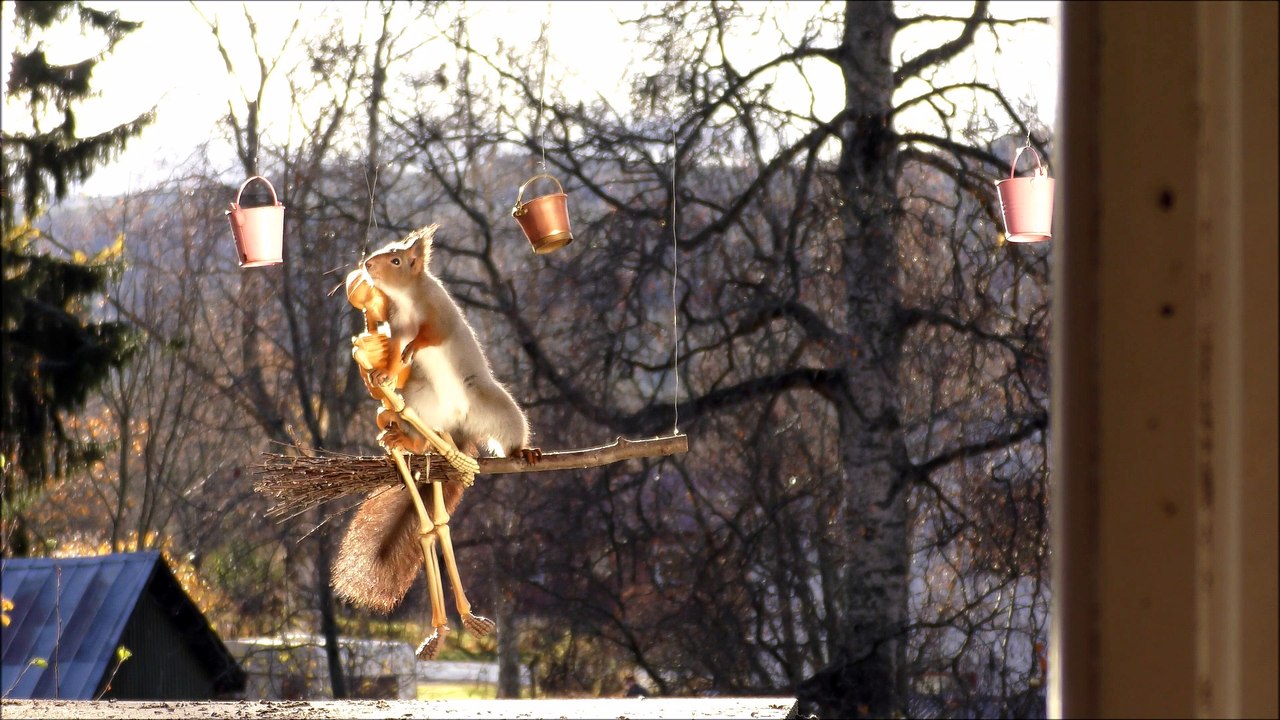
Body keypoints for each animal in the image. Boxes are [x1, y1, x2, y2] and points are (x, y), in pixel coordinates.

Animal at [332, 224, 538, 613]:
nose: (368, 264)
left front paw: (416, 348)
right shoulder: (397, 328)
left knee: (511, 434)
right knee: (419, 435)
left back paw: (522, 452)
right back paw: (406, 439)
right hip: (420, 402)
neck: (407, 298)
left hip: (497, 409)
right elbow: (396, 354)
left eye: (397, 260)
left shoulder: (440, 314)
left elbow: (430, 336)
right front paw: (383, 373)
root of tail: (458, 428)